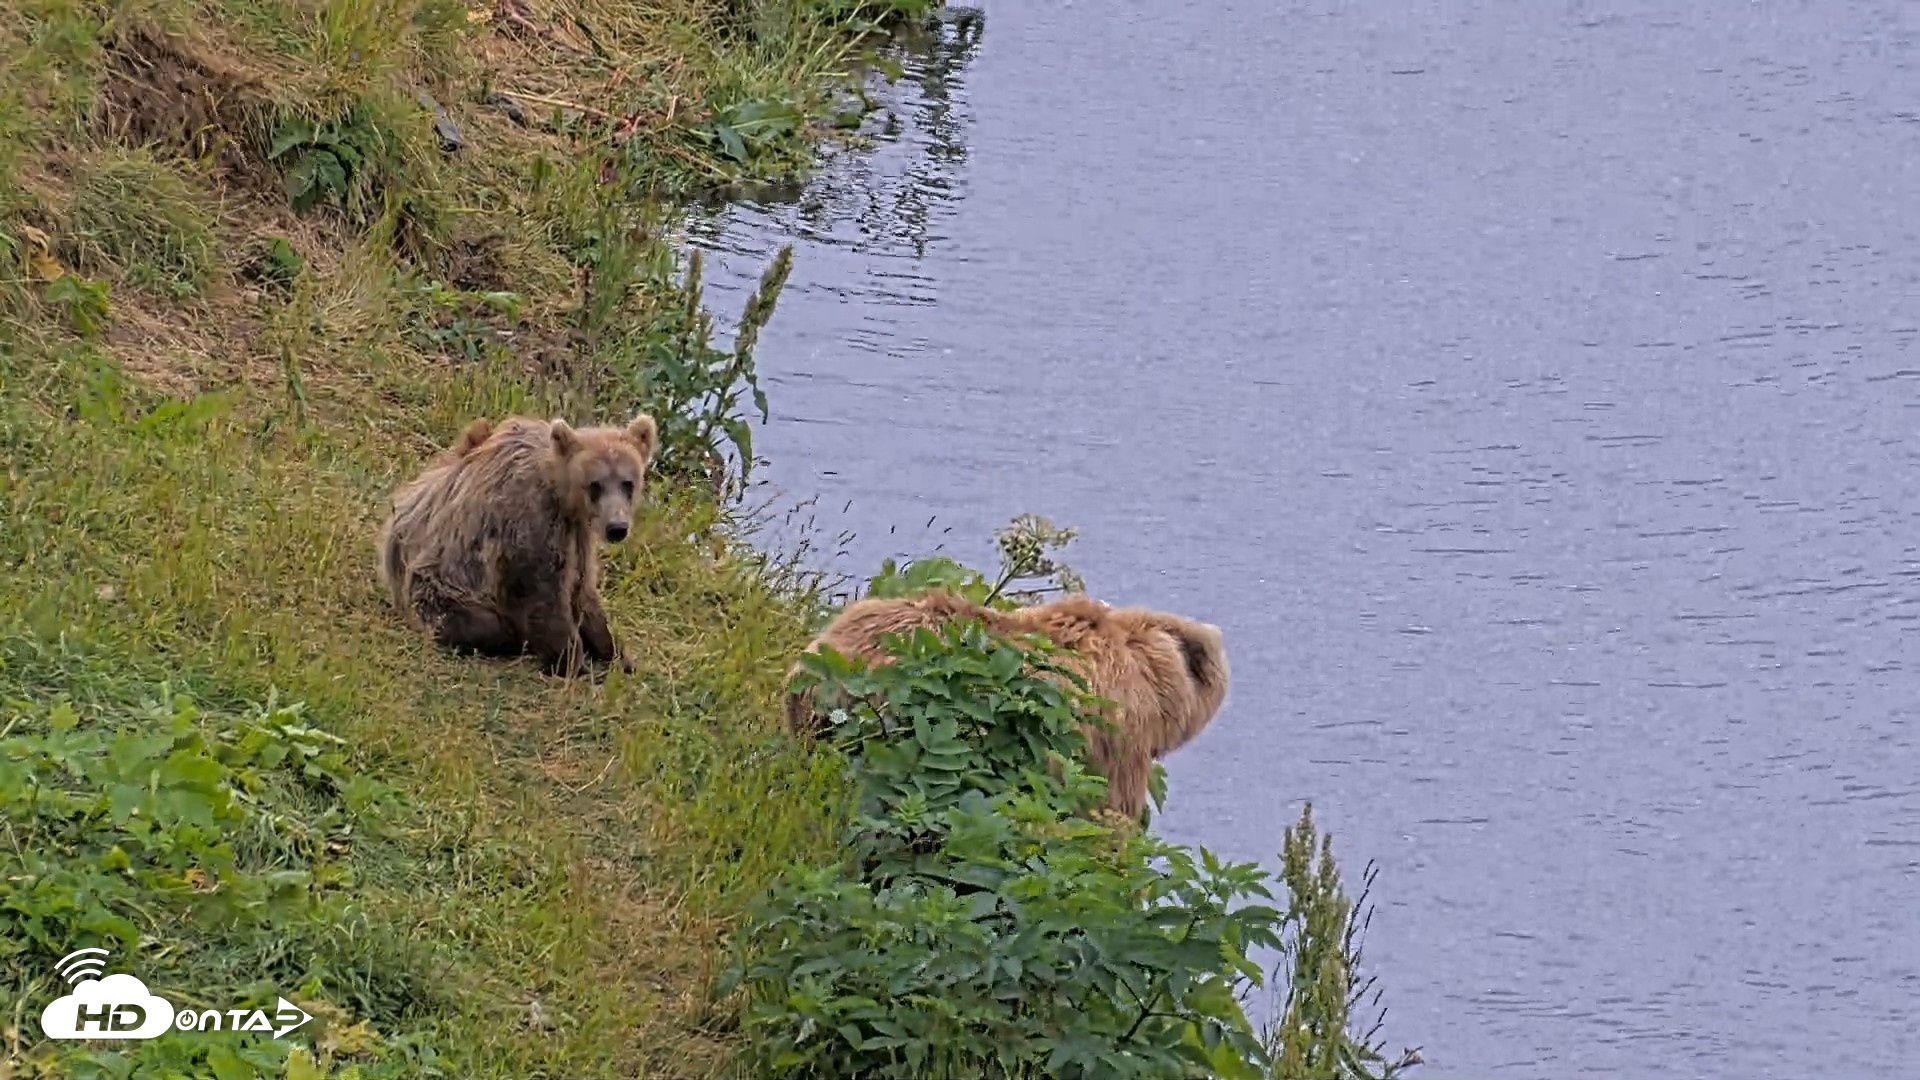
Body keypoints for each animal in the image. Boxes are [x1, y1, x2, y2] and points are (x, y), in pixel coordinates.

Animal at [376, 412, 658, 677]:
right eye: (595, 485)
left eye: (627, 483)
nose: (617, 528)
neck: (560, 494)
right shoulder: (531, 519)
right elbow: (543, 592)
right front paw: (571, 662)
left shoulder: (578, 532)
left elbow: (582, 587)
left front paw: (617, 654)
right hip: (442, 589)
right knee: (477, 624)